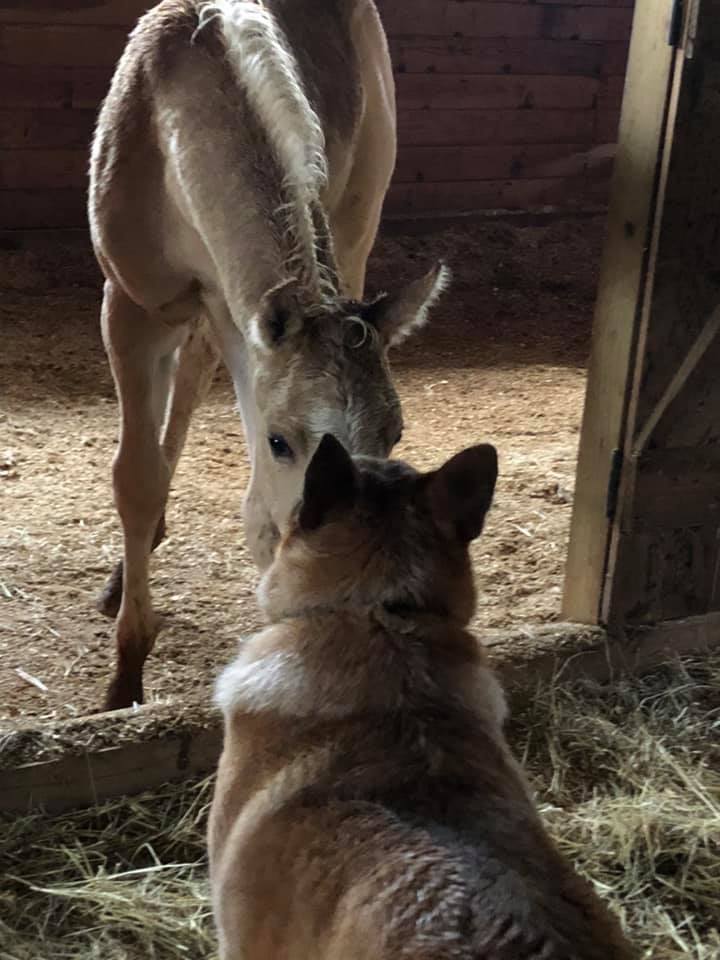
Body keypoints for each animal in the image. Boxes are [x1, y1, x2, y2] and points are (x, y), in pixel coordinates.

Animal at [89, 0, 444, 704]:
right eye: (282, 442)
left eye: (395, 434)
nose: (352, 580)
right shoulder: (132, 306)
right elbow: (135, 478)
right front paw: (124, 682)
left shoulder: (241, 313)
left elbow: (258, 512)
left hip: (349, 231)